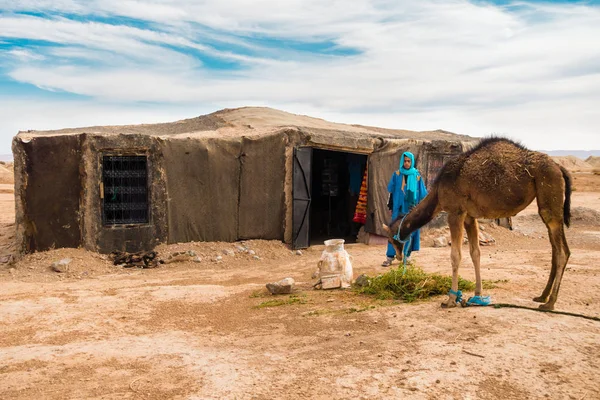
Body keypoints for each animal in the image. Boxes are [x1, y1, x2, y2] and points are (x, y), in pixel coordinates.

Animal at [384, 136, 572, 310]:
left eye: (391, 239)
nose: (399, 257)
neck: (437, 193)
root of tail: (559, 167)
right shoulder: (469, 216)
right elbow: (475, 253)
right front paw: (477, 296)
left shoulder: (455, 212)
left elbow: (456, 255)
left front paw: (450, 300)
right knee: (556, 250)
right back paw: (542, 296)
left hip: (550, 194)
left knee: (563, 251)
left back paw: (550, 303)